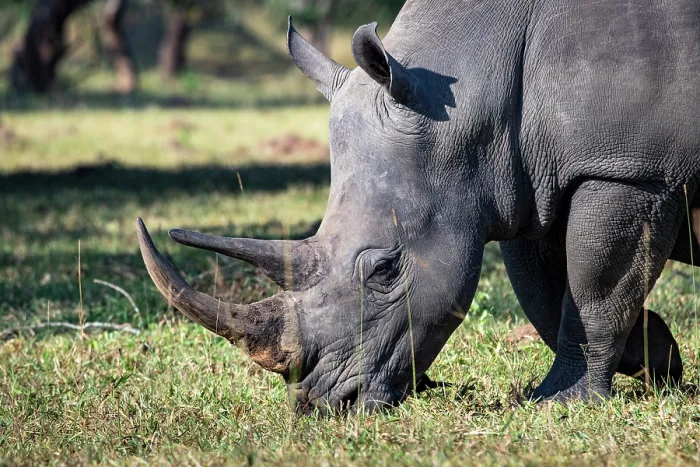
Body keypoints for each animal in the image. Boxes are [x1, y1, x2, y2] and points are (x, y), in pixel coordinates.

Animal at [137, 0, 700, 413]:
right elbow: (546, 295)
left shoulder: (630, 168)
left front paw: (560, 403)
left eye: (385, 269)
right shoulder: (525, 184)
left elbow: (595, 290)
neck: (472, 92)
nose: (324, 404)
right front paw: (659, 356)